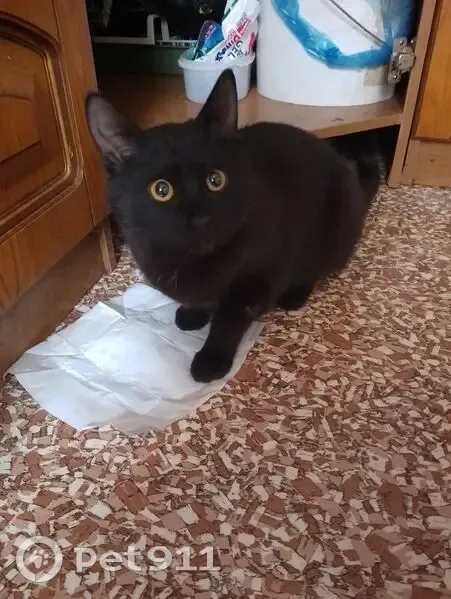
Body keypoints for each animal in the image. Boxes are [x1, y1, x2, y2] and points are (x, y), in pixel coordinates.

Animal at [85, 70, 380, 383]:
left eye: (216, 180)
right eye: (161, 190)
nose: (200, 218)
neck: (193, 262)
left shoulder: (259, 278)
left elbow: (229, 320)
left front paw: (211, 358)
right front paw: (194, 313)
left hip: (334, 228)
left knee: (316, 265)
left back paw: (294, 294)